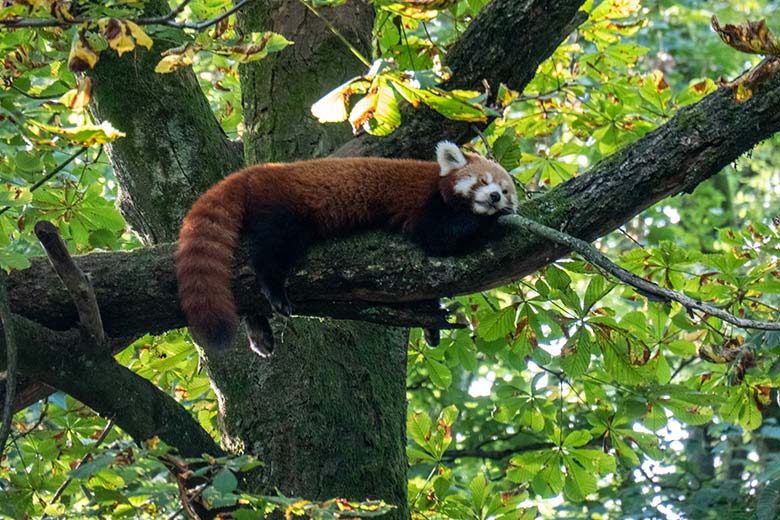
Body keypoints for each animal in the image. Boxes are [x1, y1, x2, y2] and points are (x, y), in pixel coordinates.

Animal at [177, 141, 516, 354]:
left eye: (505, 190)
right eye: (483, 182)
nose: (496, 197)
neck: (439, 184)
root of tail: (256, 171)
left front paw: (431, 324)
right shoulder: (425, 205)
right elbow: (439, 238)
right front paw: (493, 220)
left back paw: (258, 329)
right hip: (283, 210)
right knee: (272, 250)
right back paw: (273, 289)